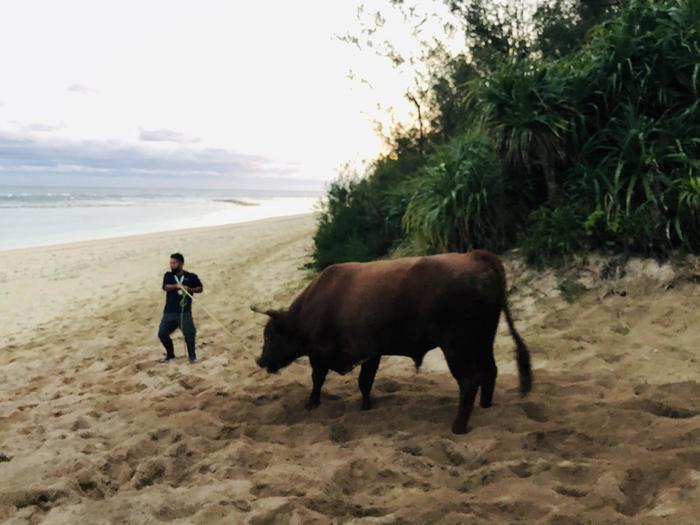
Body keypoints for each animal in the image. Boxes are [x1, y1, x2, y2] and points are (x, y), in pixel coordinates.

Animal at [252, 250, 532, 434]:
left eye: (269, 336)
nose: (260, 359)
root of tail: (475, 255)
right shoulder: (371, 353)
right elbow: (365, 383)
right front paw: (365, 408)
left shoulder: (319, 354)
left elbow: (317, 380)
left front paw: (312, 404)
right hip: (483, 340)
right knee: (489, 372)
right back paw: (485, 409)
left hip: (457, 346)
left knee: (469, 380)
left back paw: (458, 427)